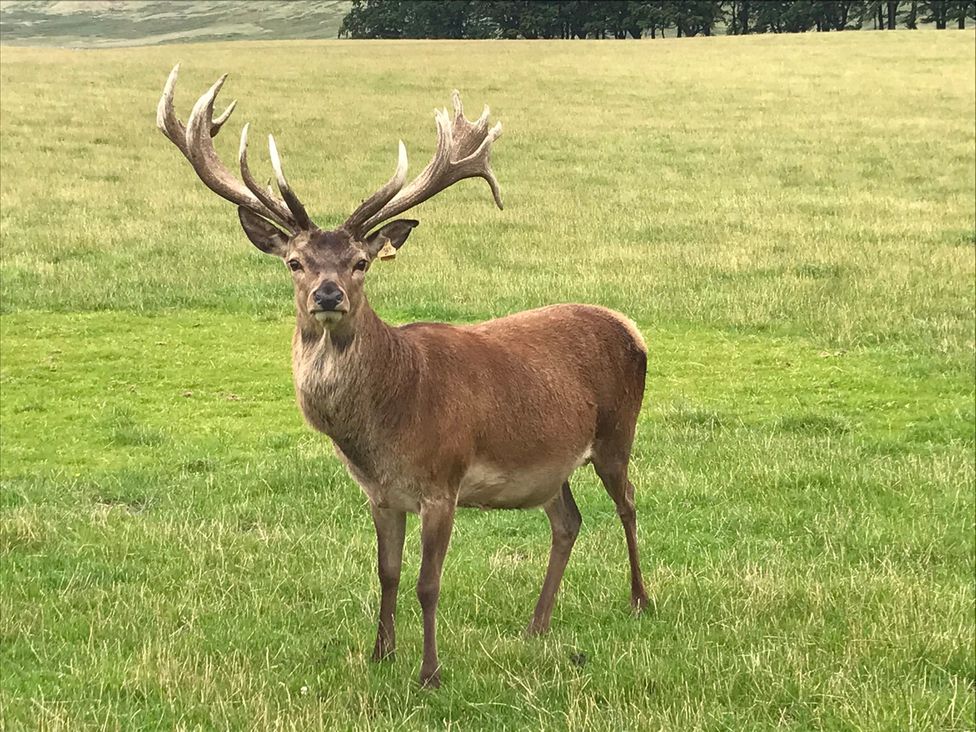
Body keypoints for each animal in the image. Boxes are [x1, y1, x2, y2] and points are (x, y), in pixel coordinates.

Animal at [157, 65, 649, 689]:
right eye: (295, 261)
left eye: (360, 262)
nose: (328, 294)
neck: (386, 426)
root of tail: (633, 329)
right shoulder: (380, 495)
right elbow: (387, 574)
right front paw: (380, 654)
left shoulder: (444, 482)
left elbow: (427, 583)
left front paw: (430, 673)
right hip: (551, 463)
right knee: (568, 520)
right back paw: (537, 625)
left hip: (616, 433)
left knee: (628, 502)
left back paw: (640, 600)